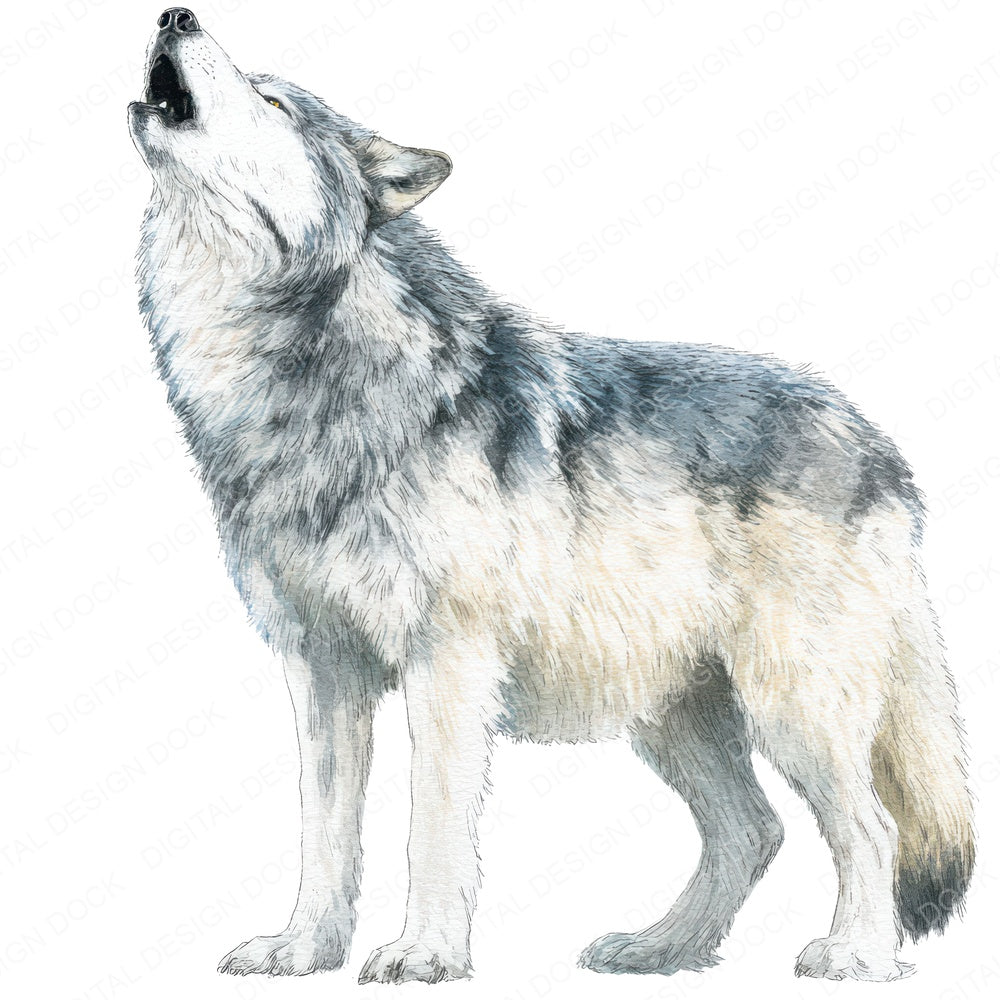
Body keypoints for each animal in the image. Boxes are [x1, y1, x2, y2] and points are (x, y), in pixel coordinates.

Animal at [127, 7, 974, 985]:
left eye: (271, 100)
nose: (175, 15)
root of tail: (880, 446)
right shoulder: (322, 668)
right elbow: (323, 832)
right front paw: (302, 948)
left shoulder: (448, 663)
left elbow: (432, 825)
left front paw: (423, 953)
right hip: (675, 716)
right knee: (752, 831)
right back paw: (660, 948)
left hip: (792, 703)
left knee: (870, 826)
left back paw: (858, 956)